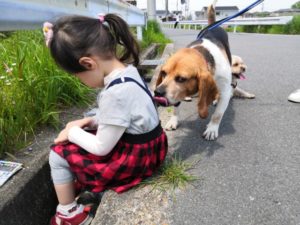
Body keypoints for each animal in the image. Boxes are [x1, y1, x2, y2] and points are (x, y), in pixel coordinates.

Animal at [155, 3, 232, 141]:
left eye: (181, 79)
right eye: (163, 73)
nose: (157, 92)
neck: (203, 53)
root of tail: (213, 25)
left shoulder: (225, 90)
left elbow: (217, 114)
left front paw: (212, 129)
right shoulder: (177, 94)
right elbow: (175, 108)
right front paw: (173, 121)